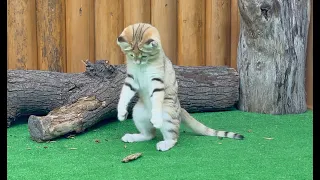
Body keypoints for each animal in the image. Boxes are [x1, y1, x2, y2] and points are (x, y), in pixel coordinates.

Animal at [116, 22, 244, 152]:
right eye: (131, 55)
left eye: (144, 56)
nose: (137, 62)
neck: (142, 66)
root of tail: (180, 108)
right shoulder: (131, 79)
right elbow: (124, 94)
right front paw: (121, 113)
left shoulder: (156, 81)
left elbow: (156, 100)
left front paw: (156, 119)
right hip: (138, 113)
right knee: (149, 135)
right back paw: (131, 136)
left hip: (167, 114)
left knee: (173, 137)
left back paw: (165, 143)